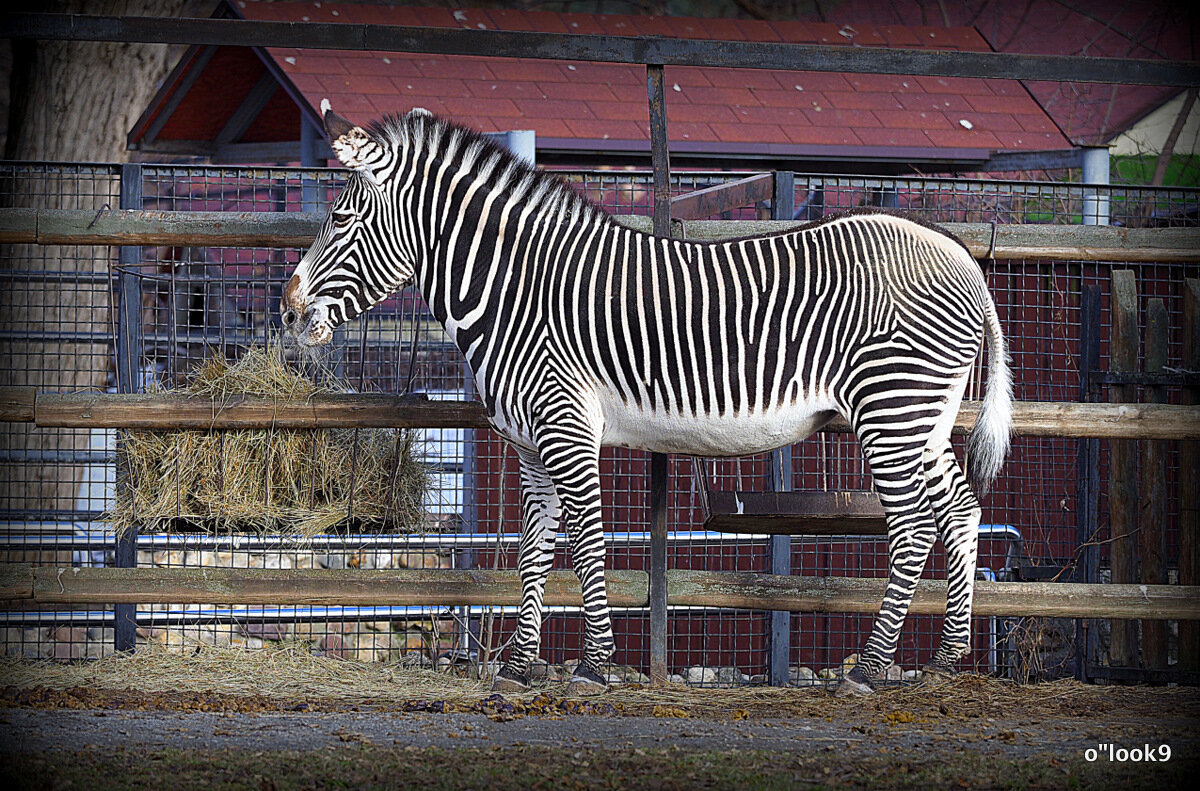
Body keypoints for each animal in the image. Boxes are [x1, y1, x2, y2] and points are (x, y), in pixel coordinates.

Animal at [283, 100, 1012, 700]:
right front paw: (517, 668)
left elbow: (587, 539)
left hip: (893, 406)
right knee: (960, 508)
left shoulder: (566, 423)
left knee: (913, 525)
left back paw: (869, 668)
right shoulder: (528, 443)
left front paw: (591, 665)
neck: (517, 290)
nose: (287, 310)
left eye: (340, 218)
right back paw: (948, 656)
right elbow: (535, 548)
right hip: (924, 415)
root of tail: (962, 256)